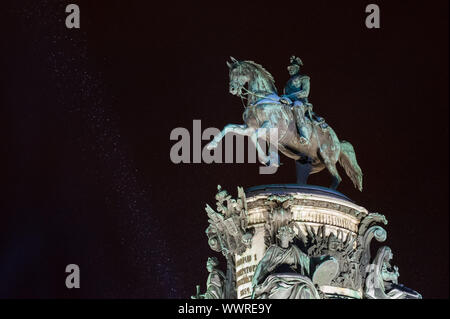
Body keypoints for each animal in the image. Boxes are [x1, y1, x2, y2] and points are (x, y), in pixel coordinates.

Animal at [207, 57, 362, 191]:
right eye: (230, 73)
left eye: (239, 71)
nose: (232, 89)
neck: (261, 99)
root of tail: (338, 141)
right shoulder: (249, 128)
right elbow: (229, 127)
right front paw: (211, 144)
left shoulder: (271, 126)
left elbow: (254, 137)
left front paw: (267, 159)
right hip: (310, 164)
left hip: (327, 158)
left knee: (337, 178)